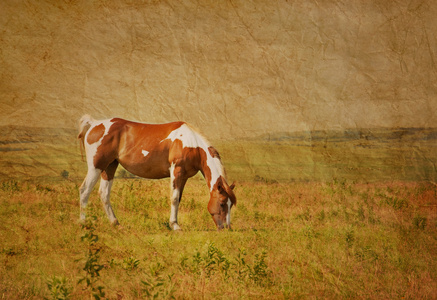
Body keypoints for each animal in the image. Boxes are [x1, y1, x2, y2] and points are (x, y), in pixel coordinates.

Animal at [76, 115, 237, 230]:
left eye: (231, 205)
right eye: (222, 203)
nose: (226, 228)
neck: (192, 144)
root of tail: (94, 124)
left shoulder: (184, 177)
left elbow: (178, 199)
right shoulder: (176, 171)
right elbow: (174, 198)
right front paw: (175, 225)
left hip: (109, 167)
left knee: (104, 193)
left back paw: (115, 223)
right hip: (96, 167)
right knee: (85, 190)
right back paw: (83, 223)